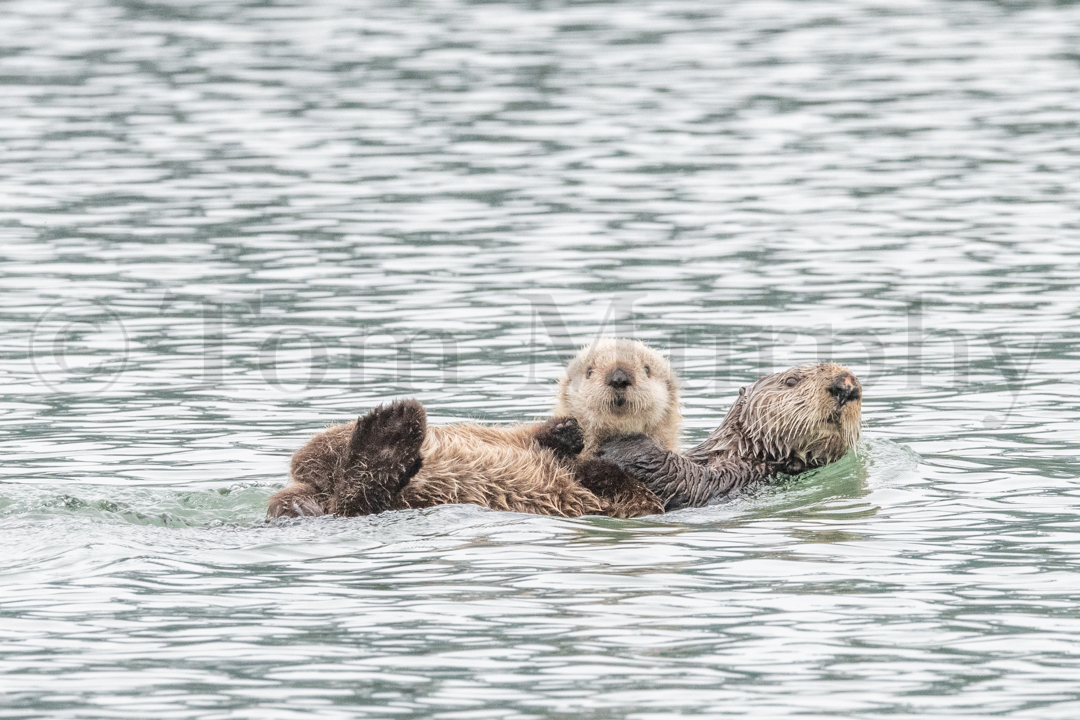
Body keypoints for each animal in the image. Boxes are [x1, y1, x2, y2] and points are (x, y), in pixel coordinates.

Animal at [267, 339, 681, 519]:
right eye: (591, 370)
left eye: (646, 369)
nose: (619, 376)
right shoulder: (510, 434)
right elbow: (524, 434)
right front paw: (564, 432)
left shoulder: (639, 503)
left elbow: (628, 493)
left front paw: (593, 463)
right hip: (325, 446)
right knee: (311, 459)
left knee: (357, 499)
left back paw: (390, 434)